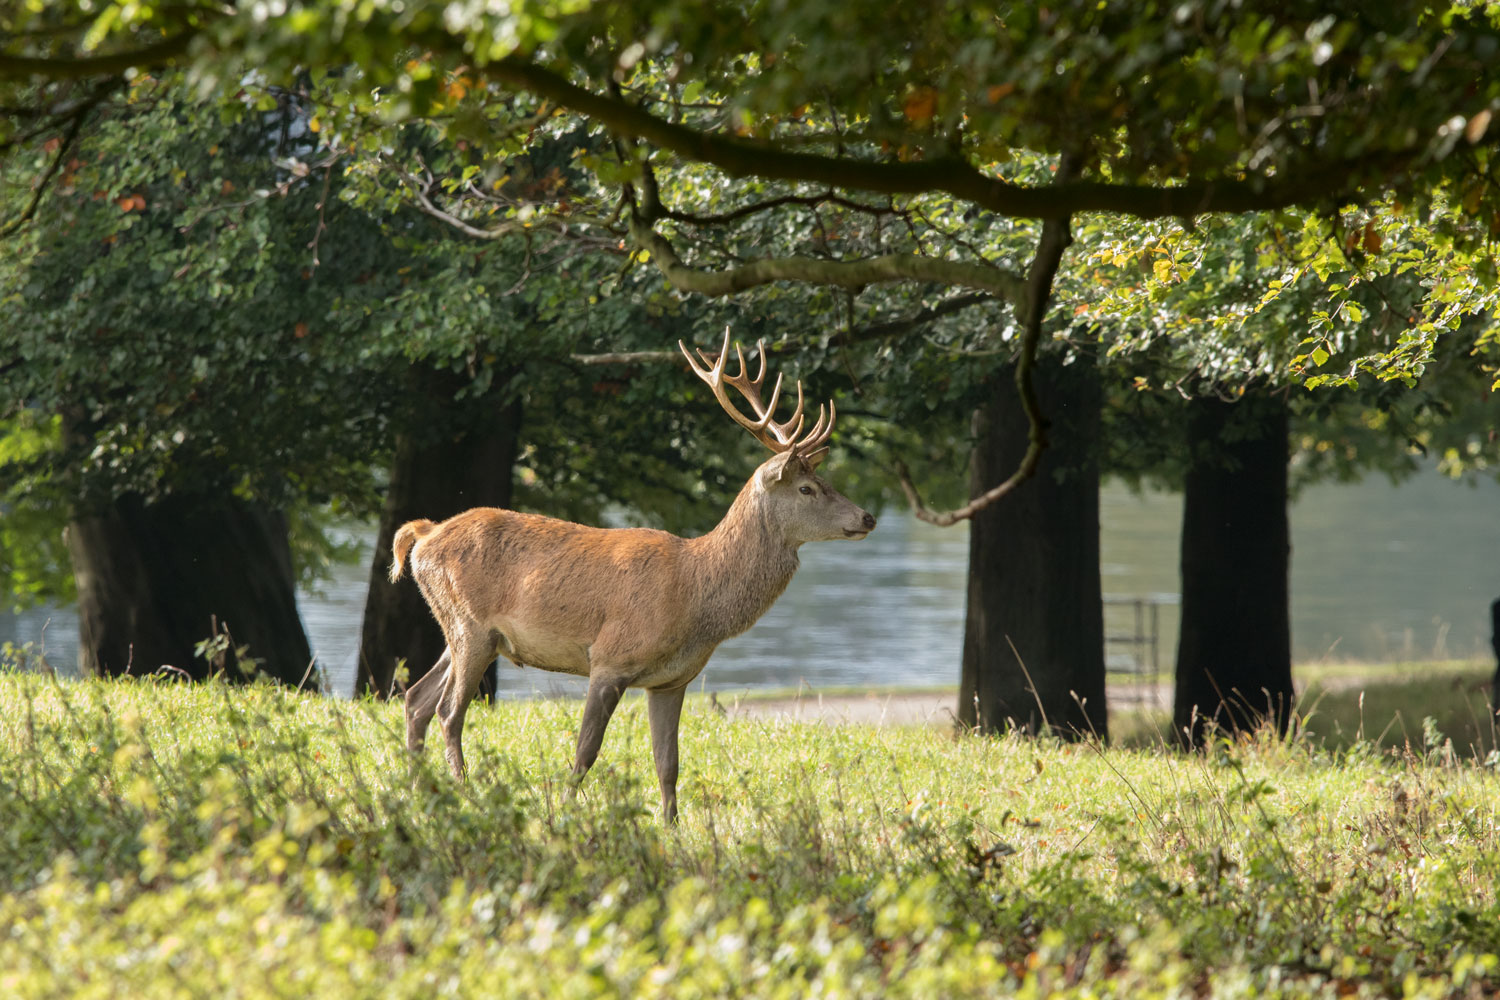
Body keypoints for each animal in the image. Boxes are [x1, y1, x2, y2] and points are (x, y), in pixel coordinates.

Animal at [389, 330, 876, 822]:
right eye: (807, 488)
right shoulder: (610, 658)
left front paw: (673, 828)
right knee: (449, 712)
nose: (868, 517)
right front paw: (566, 815)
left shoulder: (671, 680)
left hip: (461, 631)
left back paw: (421, 793)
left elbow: (668, 763)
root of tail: (425, 535)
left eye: (829, 482)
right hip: (469, 624)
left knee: (416, 701)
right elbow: (585, 751)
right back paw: (464, 792)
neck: (695, 596)